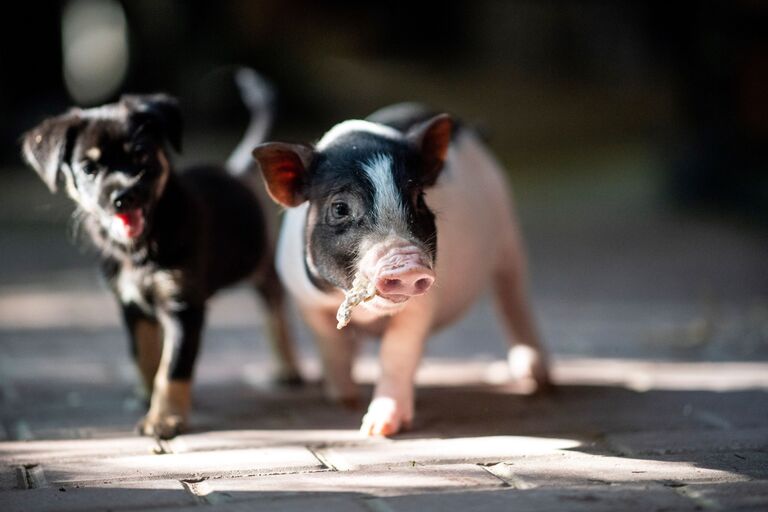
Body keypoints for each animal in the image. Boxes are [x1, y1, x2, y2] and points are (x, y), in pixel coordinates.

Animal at [21, 70, 304, 438]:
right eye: (88, 169)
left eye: (141, 155)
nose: (123, 196)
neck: (138, 249)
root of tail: (237, 172)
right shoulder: (130, 306)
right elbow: (144, 356)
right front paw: (146, 397)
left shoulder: (184, 307)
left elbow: (173, 369)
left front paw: (164, 418)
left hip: (261, 263)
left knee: (275, 309)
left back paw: (288, 367)